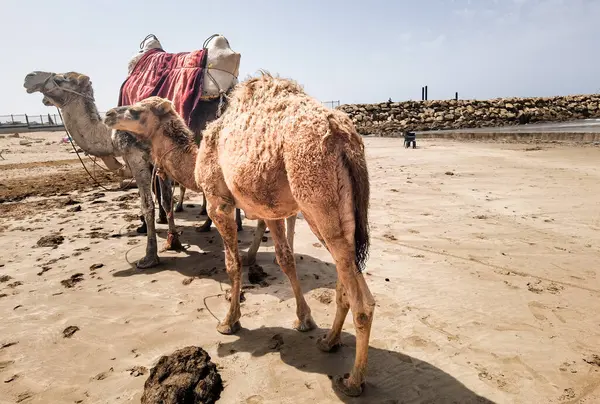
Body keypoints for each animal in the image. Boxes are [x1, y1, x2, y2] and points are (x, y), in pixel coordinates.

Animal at [103, 73, 376, 398]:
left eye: (137, 111)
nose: (109, 114)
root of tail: (345, 137)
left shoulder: (219, 202)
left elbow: (233, 265)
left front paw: (228, 322)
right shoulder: (270, 210)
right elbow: (285, 260)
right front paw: (304, 319)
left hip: (316, 193)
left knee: (362, 299)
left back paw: (354, 380)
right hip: (336, 211)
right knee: (347, 273)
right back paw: (329, 341)